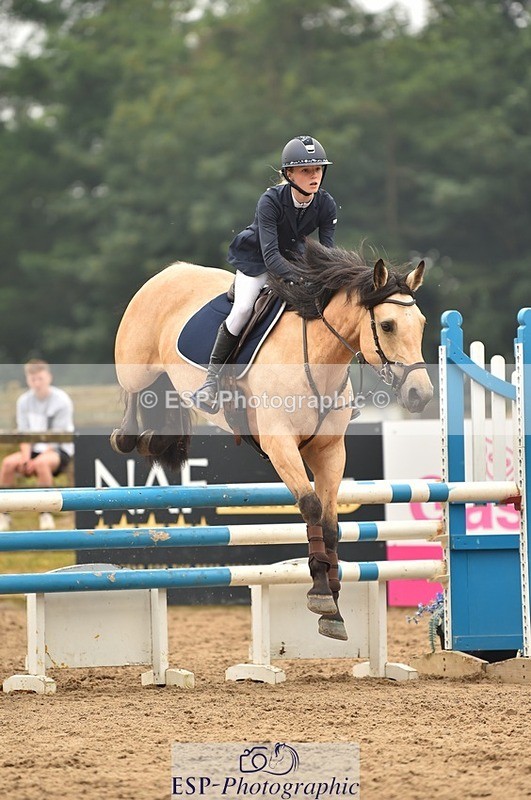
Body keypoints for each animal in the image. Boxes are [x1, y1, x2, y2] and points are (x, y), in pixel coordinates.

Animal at [111, 239, 433, 641]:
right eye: (387, 325)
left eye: (421, 324)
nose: (421, 394)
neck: (320, 358)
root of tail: (170, 271)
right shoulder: (280, 445)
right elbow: (310, 506)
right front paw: (321, 595)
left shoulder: (329, 450)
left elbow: (330, 523)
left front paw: (334, 603)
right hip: (135, 366)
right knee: (132, 395)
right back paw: (127, 436)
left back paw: (153, 441)